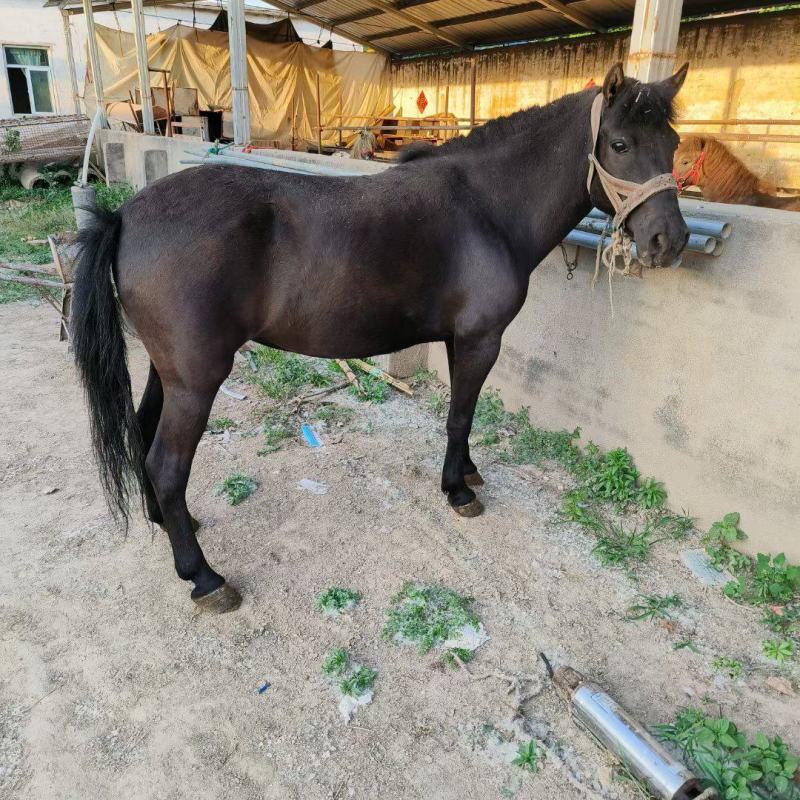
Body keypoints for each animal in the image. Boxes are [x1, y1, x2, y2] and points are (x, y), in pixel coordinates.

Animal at [71, 63, 690, 614]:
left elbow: (463, 416)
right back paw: (203, 577)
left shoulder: (457, 339)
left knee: (142, 437)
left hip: (169, 372)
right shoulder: (480, 339)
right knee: (167, 465)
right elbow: (460, 415)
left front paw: (466, 471)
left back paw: (166, 525)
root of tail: (124, 216)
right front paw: (458, 490)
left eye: (674, 142)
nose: (671, 241)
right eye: (619, 144)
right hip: (198, 380)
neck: (486, 207)